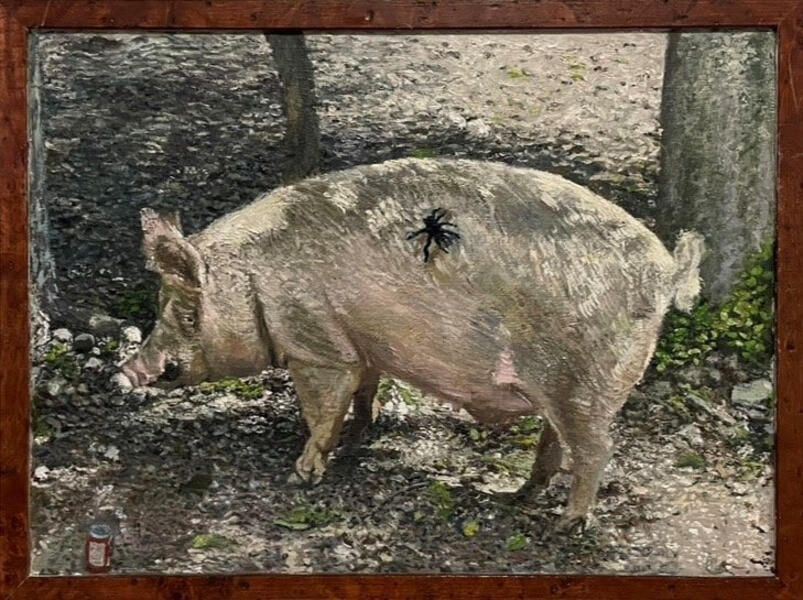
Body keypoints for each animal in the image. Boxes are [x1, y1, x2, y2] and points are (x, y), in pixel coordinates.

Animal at [122, 157, 704, 531]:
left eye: (189, 312)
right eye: (160, 304)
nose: (128, 371)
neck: (253, 282)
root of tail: (666, 273)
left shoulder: (318, 348)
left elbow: (322, 410)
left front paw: (302, 475)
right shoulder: (360, 345)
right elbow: (363, 394)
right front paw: (359, 439)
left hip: (584, 385)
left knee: (596, 450)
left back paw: (565, 526)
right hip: (566, 391)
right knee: (557, 444)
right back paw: (518, 498)